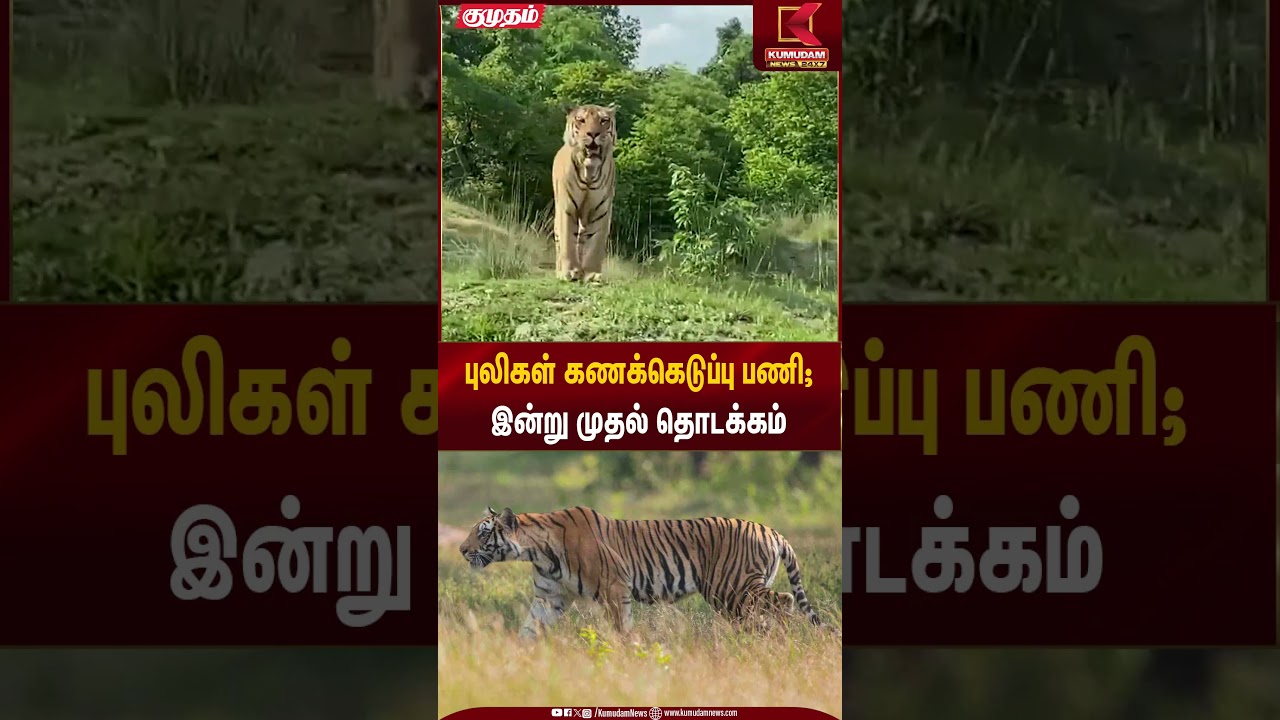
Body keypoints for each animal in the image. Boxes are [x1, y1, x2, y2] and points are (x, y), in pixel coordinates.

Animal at [458, 506, 822, 640]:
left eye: (483, 533)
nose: (461, 549)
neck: (538, 551)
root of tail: (772, 530)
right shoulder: (549, 597)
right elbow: (529, 630)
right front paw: (515, 660)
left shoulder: (614, 589)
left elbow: (621, 629)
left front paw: (625, 656)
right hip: (734, 596)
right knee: (765, 612)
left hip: (733, 588)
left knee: (784, 601)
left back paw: (777, 642)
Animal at [552, 104, 617, 283]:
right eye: (581, 120)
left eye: (603, 120)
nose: (593, 134)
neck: (589, 171)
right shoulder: (567, 208)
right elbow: (567, 240)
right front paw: (568, 272)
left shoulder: (601, 211)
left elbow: (595, 244)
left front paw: (591, 274)